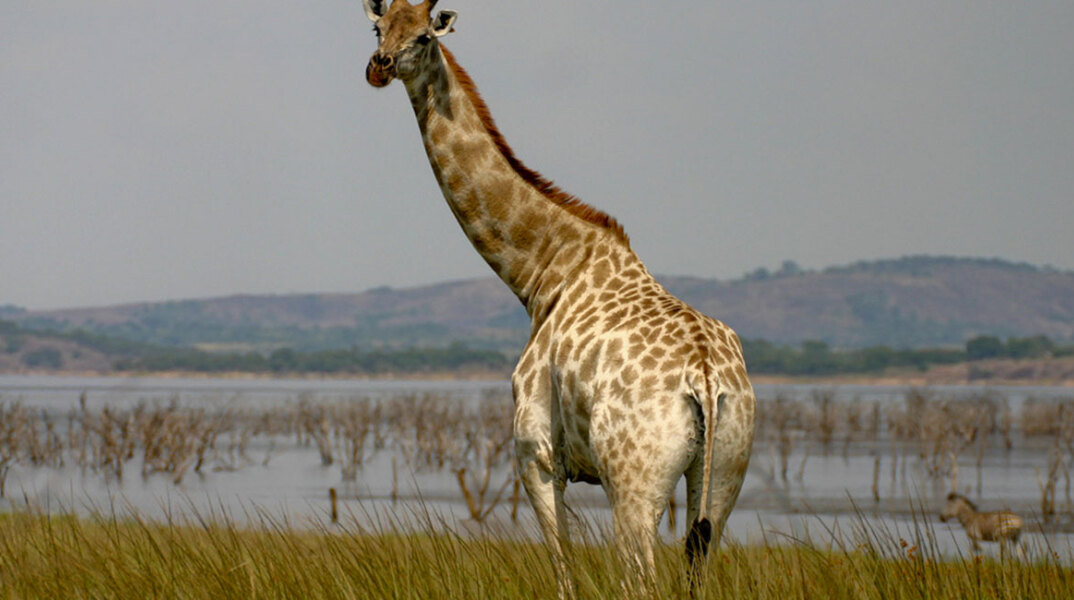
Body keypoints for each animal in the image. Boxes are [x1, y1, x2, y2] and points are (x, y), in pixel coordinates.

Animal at [361, 0, 755, 591]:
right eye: (378, 27)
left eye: (425, 36)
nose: (379, 67)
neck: (541, 273)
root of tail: (706, 379)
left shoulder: (537, 455)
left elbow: (563, 571)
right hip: (724, 473)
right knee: (696, 566)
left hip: (635, 482)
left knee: (639, 577)